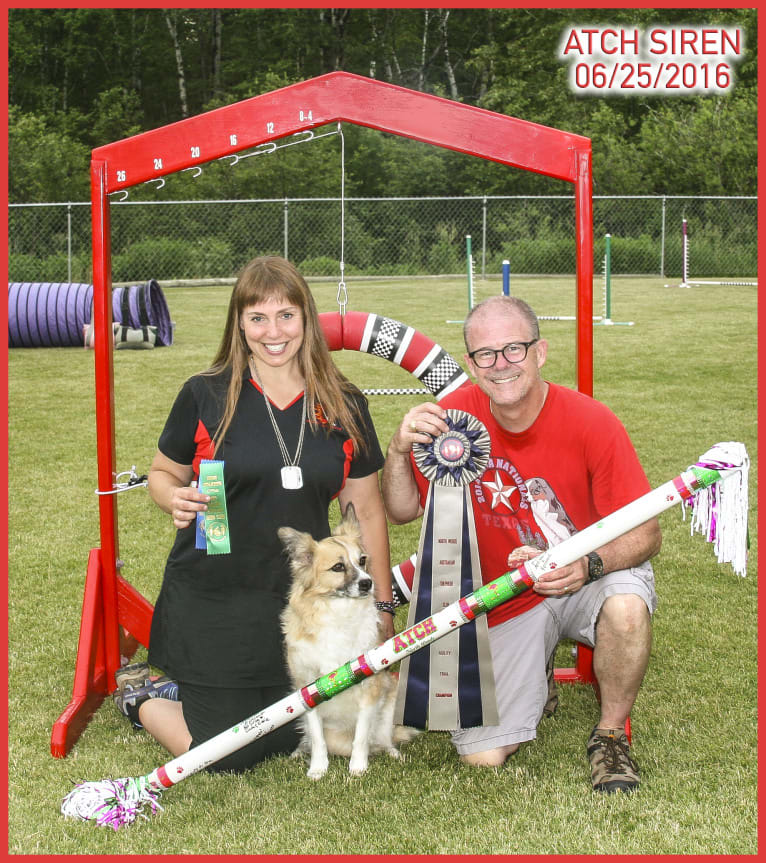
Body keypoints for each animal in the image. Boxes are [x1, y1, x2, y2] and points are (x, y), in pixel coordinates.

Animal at [280, 506, 416, 784]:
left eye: (362, 560)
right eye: (338, 567)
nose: (367, 583)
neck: (338, 612)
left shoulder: (369, 688)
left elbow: (362, 736)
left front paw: (358, 767)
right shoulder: (306, 689)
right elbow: (317, 737)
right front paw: (318, 768)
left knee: (382, 738)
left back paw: (392, 753)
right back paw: (300, 752)